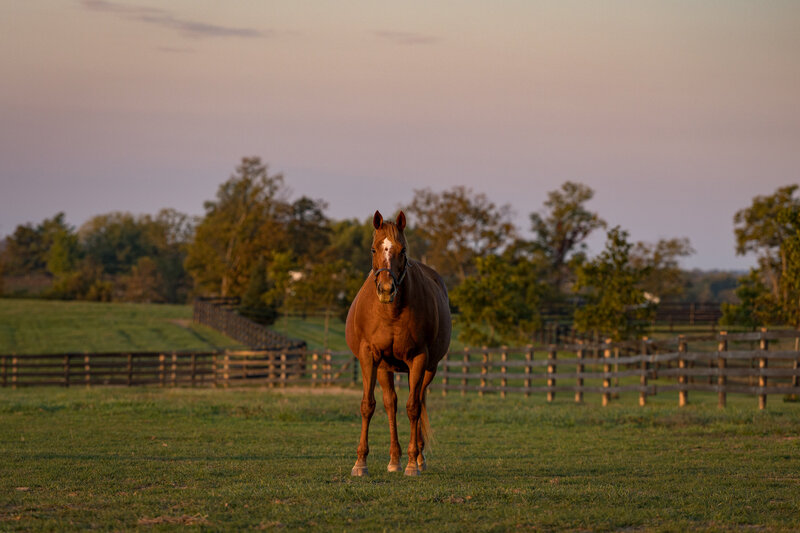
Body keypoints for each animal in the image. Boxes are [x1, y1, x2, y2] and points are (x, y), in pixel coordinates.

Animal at [345, 210, 452, 476]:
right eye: (374, 249)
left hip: (428, 369)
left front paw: (413, 463)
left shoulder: (419, 359)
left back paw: (418, 458)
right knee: (390, 404)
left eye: (402, 250)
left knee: (419, 400)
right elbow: (368, 405)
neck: (391, 313)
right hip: (385, 368)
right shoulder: (369, 357)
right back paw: (394, 459)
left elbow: (413, 407)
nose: (386, 288)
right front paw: (360, 462)